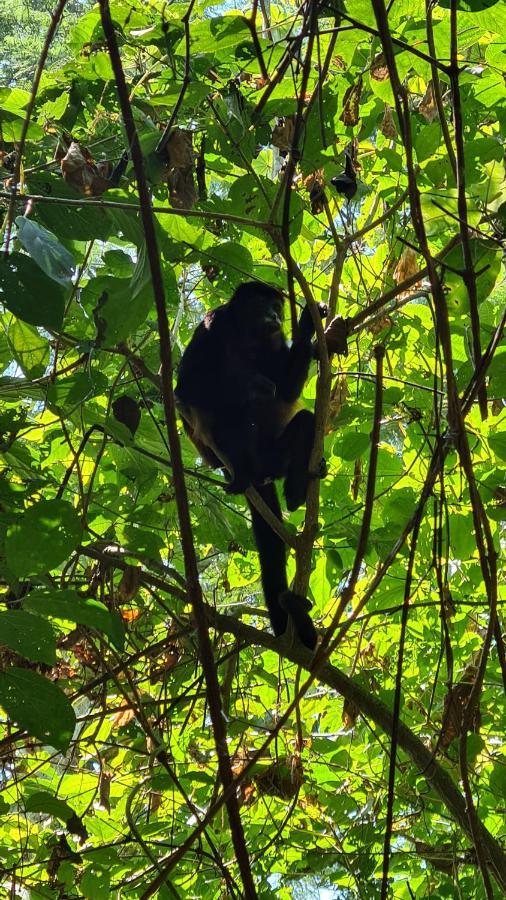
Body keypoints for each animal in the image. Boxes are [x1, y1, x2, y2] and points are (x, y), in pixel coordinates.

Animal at [176, 282, 326, 648]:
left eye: (277, 306)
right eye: (263, 303)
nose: (275, 314)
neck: (247, 335)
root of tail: (261, 475)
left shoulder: (275, 341)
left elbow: (286, 391)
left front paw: (306, 325)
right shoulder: (212, 325)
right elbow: (187, 387)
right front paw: (254, 385)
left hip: (277, 457)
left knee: (305, 421)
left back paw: (296, 489)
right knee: (229, 417)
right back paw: (240, 471)